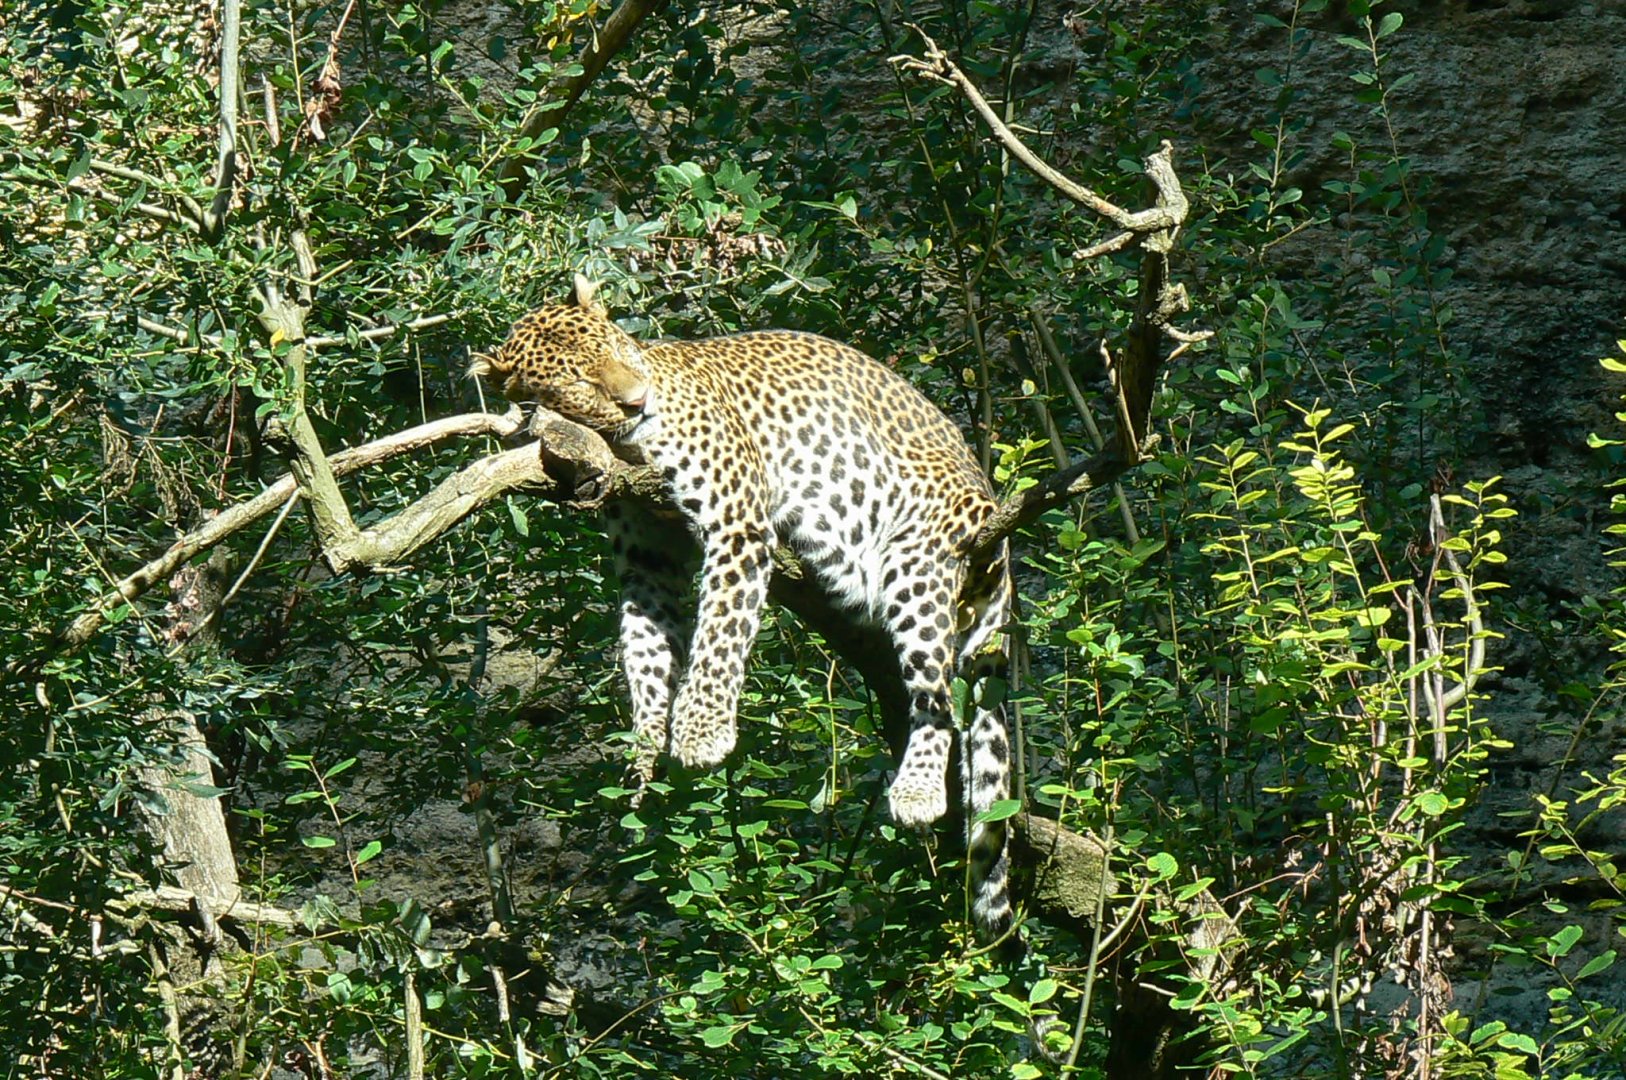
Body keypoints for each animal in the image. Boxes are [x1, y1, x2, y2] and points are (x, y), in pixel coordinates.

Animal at [474, 275, 1015, 939]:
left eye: (618, 349)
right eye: (577, 382)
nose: (637, 402)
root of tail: (992, 511)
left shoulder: (736, 521)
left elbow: (719, 635)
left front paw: (701, 732)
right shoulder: (646, 563)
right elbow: (646, 656)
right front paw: (644, 749)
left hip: (919, 560)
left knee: (938, 696)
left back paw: (917, 790)